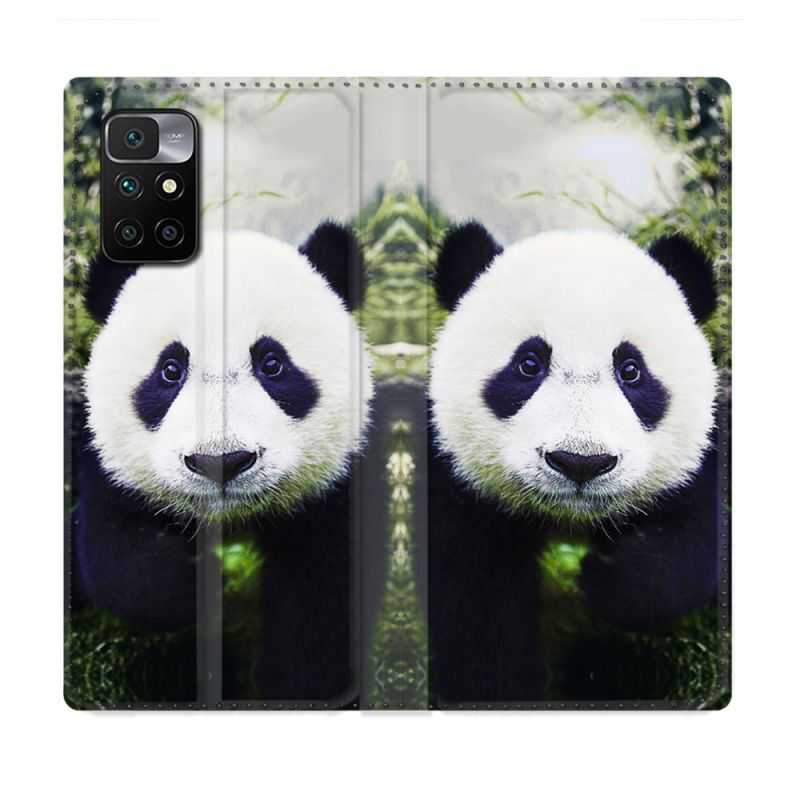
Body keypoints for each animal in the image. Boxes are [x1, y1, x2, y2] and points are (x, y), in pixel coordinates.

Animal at [73, 222, 372, 702]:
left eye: (272, 363)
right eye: (170, 369)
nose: (222, 463)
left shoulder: (336, 493)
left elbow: (321, 609)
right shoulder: (110, 471)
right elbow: (120, 559)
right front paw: (193, 584)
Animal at [428, 222, 720, 703]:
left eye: (631, 370)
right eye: (528, 364)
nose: (581, 463)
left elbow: (696, 538)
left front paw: (609, 578)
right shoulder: (460, 494)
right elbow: (479, 617)